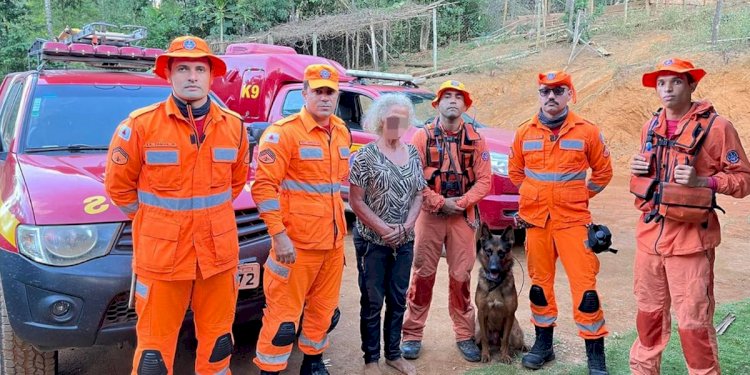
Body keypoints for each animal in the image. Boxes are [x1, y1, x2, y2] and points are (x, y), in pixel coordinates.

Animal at [476, 223, 528, 364]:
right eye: (488, 251)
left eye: (501, 253)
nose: (493, 269)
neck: (495, 284)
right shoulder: (481, 313)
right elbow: (484, 338)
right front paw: (485, 354)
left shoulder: (509, 315)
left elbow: (505, 339)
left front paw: (505, 356)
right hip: (476, 331)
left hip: (515, 333)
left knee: (514, 342)